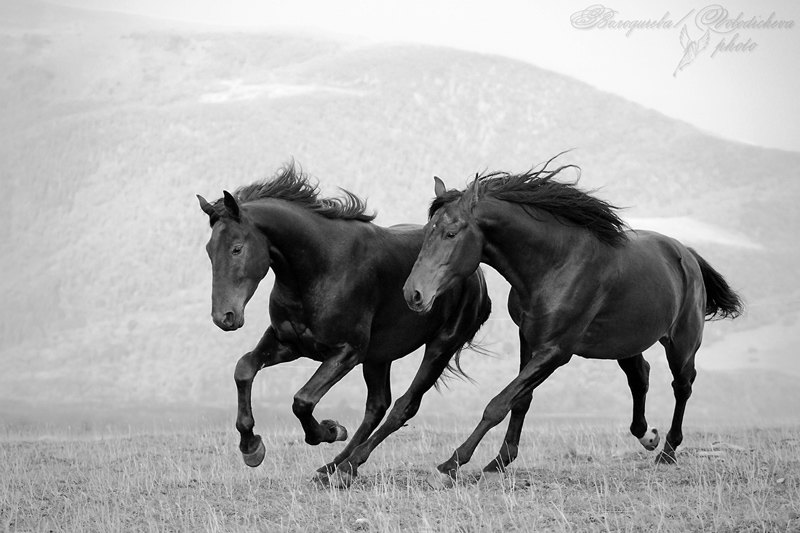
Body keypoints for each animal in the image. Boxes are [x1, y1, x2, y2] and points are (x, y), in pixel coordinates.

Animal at [197, 162, 490, 482]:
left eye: (237, 248)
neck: (321, 267)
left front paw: (330, 430)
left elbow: (302, 400)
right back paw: (334, 466)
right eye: (209, 250)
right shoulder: (288, 343)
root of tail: (478, 278)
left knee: (403, 406)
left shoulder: (347, 352)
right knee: (377, 406)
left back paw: (346, 465)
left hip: (440, 347)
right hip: (379, 357)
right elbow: (244, 369)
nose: (224, 317)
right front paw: (251, 447)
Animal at [406, 156, 744, 484]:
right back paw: (648, 437)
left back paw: (668, 451)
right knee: (640, 376)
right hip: (625, 343)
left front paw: (454, 462)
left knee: (682, 386)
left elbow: (499, 404)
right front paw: (500, 461)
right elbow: (520, 399)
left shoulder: (556, 351)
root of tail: (686, 254)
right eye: (427, 231)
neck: (556, 263)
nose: (413, 294)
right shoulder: (528, 339)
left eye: (451, 233)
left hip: (681, 343)